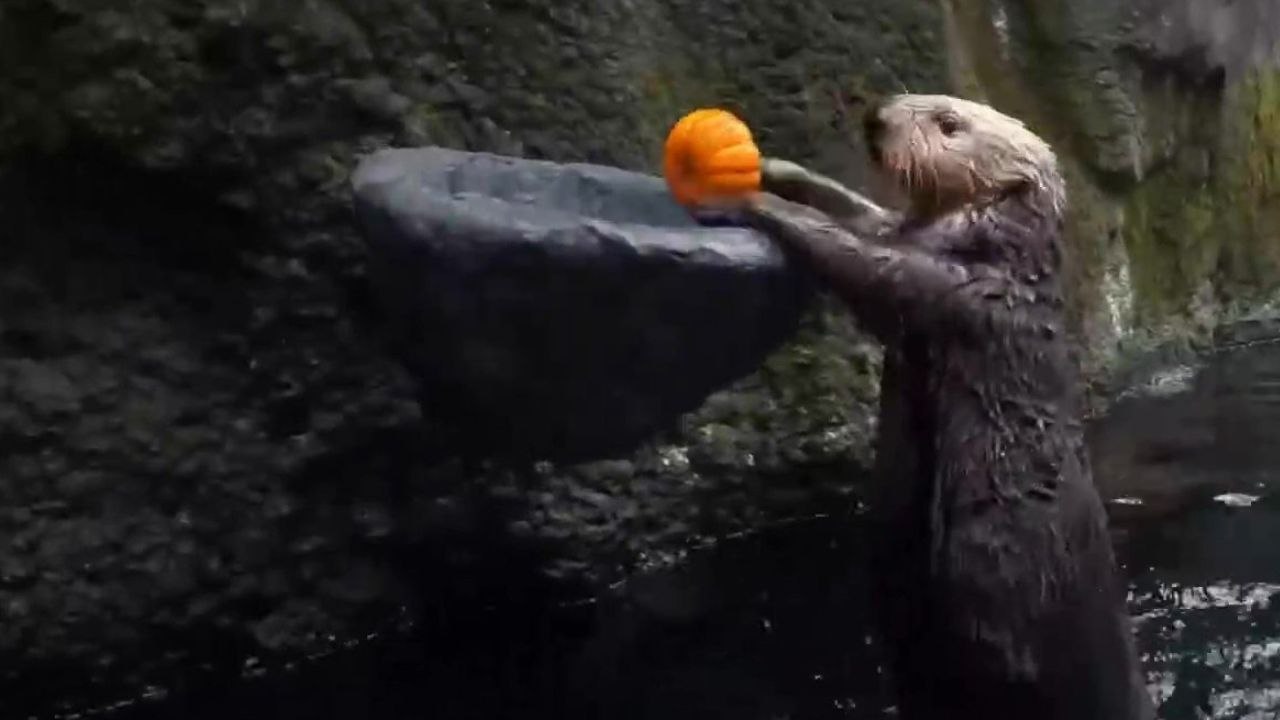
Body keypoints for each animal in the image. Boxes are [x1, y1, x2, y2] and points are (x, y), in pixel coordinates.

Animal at [701, 95, 1155, 719]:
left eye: (949, 124)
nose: (877, 116)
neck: (993, 252)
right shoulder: (906, 235)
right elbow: (862, 214)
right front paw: (778, 170)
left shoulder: (950, 288)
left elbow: (864, 262)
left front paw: (753, 199)